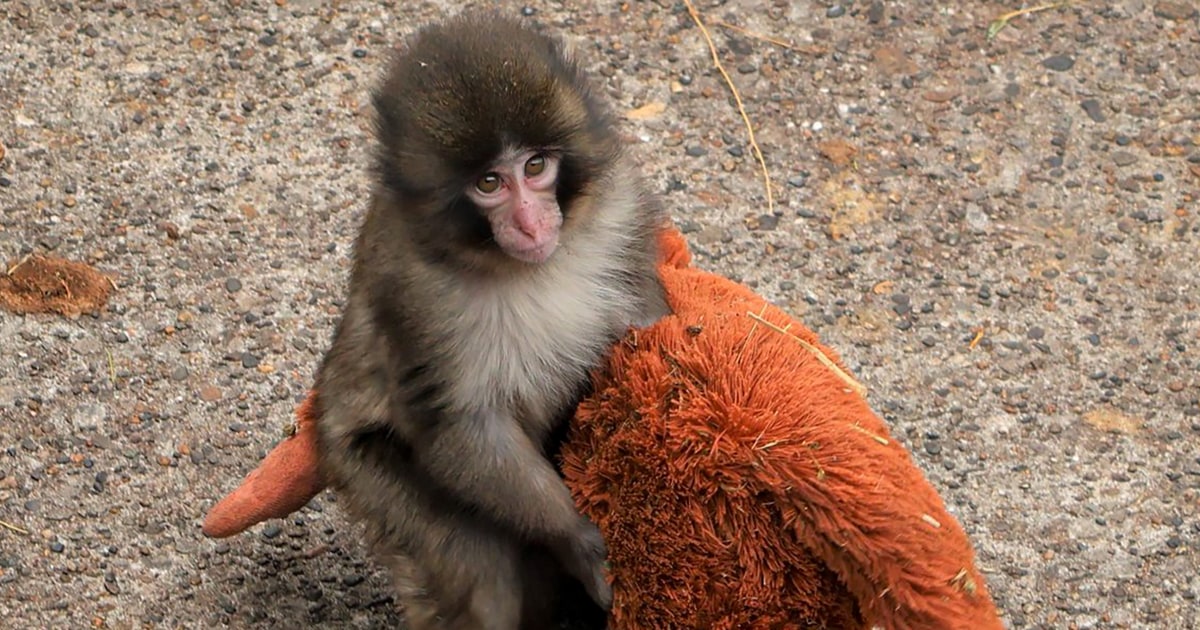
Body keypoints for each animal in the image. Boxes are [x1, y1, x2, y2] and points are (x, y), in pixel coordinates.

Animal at [311, 11, 670, 630]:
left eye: (535, 166)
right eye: (489, 183)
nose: (530, 223)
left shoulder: (619, 210)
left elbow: (646, 320)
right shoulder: (416, 294)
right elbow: (461, 425)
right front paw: (578, 539)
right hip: (367, 470)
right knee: (482, 577)